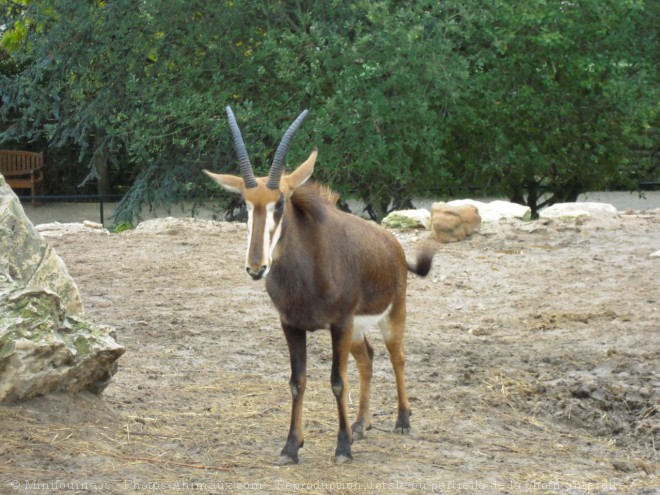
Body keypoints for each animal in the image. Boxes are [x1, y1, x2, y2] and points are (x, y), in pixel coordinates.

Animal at [204, 107, 436, 464]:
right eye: (246, 204)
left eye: (279, 203)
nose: (256, 267)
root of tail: (393, 245)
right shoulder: (292, 325)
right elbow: (297, 381)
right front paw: (291, 446)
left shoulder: (338, 324)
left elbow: (337, 381)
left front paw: (342, 448)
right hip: (356, 329)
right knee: (367, 358)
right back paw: (360, 425)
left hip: (391, 315)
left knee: (397, 357)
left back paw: (402, 421)